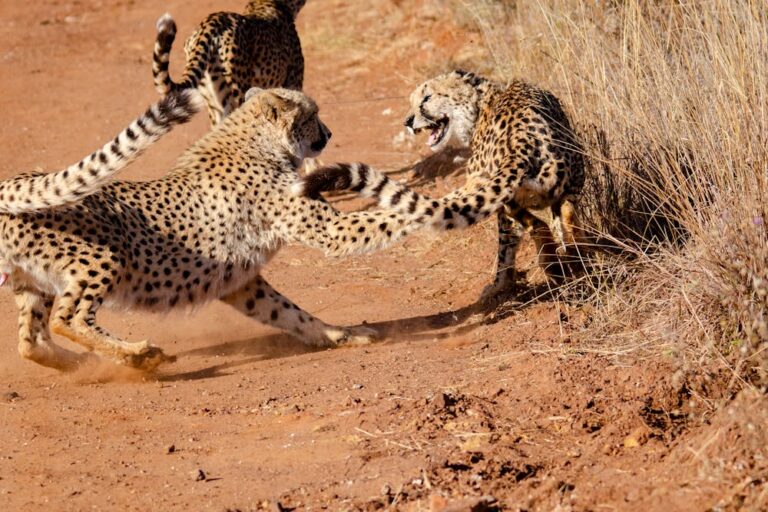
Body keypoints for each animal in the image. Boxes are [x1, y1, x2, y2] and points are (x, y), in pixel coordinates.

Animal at [0, 87, 445, 373]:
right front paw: (449, 204)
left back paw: (82, 362)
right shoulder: (329, 231)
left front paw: (337, 334)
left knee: (30, 343)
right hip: (102, 257)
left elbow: (289, 312)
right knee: (67, 318)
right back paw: (139, 355)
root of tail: (15, 180)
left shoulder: (238, 281)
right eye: (312, 116)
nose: (329, 133)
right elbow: (385, 217)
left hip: (32, 281)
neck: (254, 140)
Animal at [294, 70, 586, 298]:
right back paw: (574, 260)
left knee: (542, 224)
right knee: (564, 217)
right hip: (557, 186)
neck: (483, 102)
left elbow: (506, 244)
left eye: (427, 97)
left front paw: (500, 285)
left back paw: (557, 265)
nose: (408, 121)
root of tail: (521, 144)